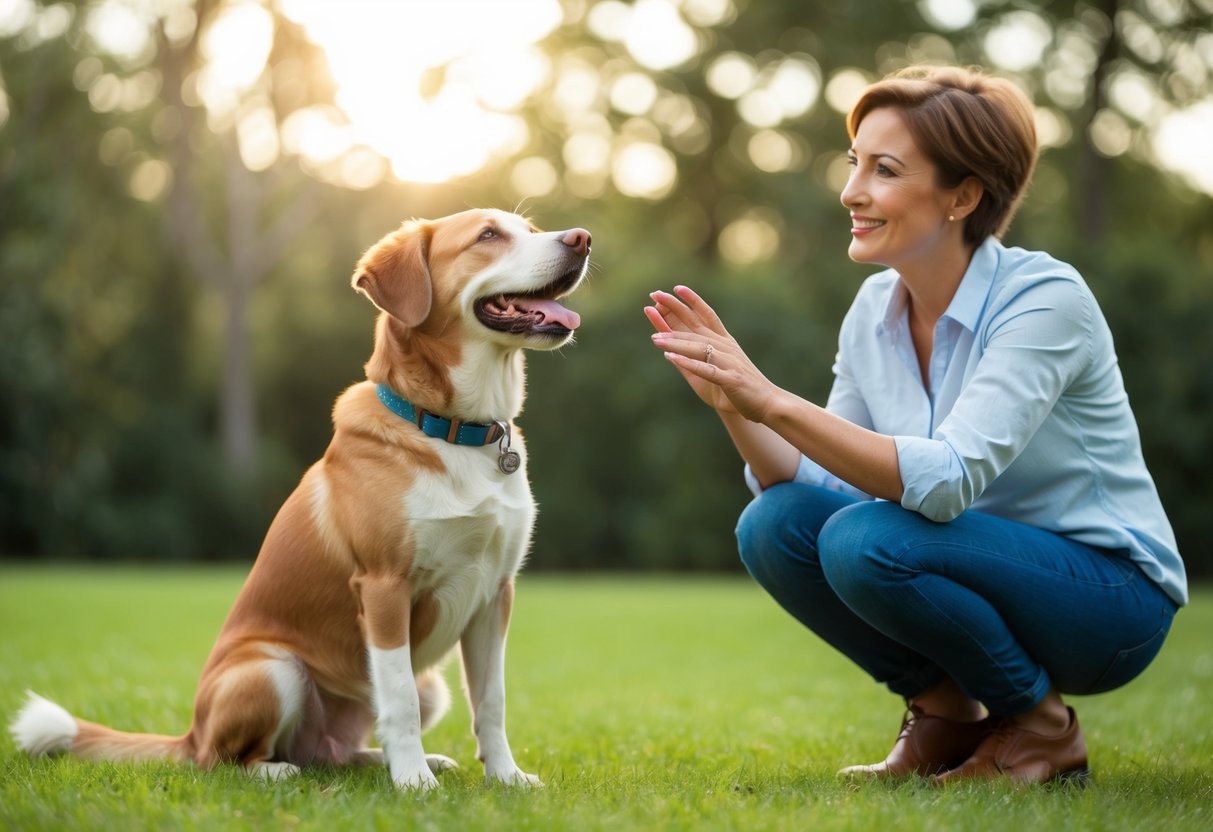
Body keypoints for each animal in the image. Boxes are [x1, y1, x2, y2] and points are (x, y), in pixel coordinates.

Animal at [10, 209, 591, 795]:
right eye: (488, 235)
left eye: (530, 228)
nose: (582, 239)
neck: (455, 432)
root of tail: (189, 733)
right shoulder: (384, 587)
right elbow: (399, 699)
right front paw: (413, 784)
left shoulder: (496, 593)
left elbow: (491, 701)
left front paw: (506, 777)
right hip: (273, 670)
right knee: (225, 760)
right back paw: (285, 770)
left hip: (427, 690)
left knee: (338, 751)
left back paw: (399, 761)